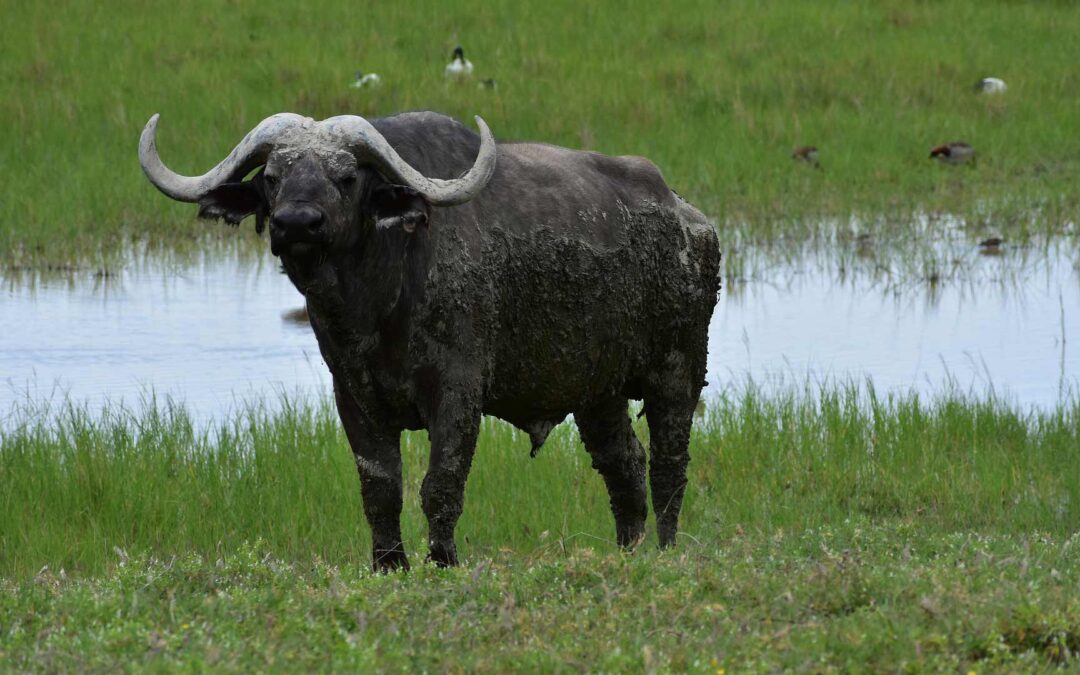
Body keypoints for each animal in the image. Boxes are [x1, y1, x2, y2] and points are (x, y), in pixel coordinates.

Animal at [139, 110, 721, 570]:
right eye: (273, 177)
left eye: (346, 177)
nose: (296, 223)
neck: (377, 305)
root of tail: (688, 216)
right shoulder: (354, 396)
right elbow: (380, 489)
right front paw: (388, 565)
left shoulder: (458, 393)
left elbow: (440, 485)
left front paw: (442, 561)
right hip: (596, 392)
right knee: (624, 465)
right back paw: (629, 549)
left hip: (679, 370)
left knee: (669, 465)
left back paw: (665, 548)